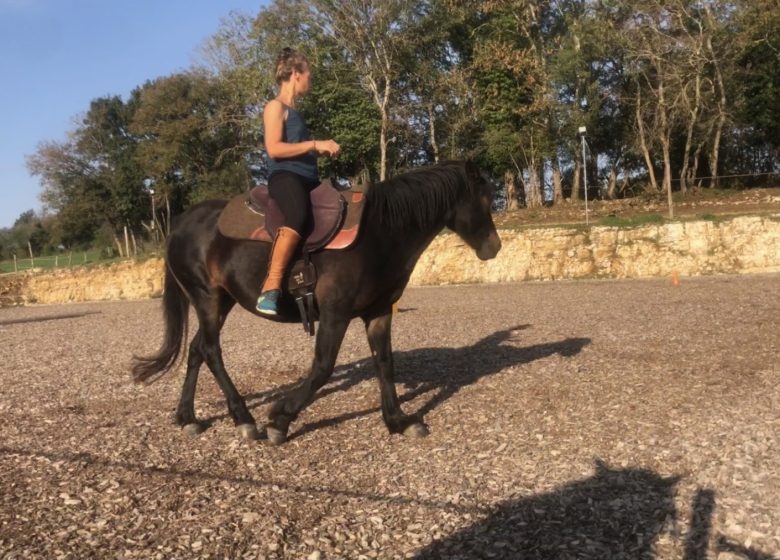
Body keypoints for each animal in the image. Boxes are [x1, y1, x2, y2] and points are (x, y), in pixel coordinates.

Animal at [132, 160, 502, 444]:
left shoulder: (379, 312)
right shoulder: (336, 314)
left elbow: (385, 363)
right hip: (206, 298)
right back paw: (244, 418)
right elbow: (323, 368)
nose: (494, 247)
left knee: (196, 349)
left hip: (222, 302)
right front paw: (280, 418)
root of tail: (181, 223)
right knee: (210, 350)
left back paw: (188, 417)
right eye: (484, 199)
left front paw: (398, 420)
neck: (380, 234)